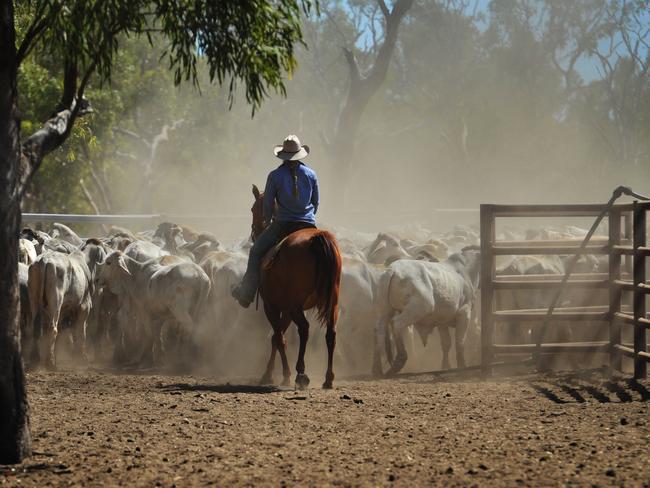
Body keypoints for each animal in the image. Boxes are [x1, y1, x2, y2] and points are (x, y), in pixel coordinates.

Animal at [248, 184, 342, 388]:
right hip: (332, 303)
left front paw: (281, 374)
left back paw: (301, 373)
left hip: (295, 306)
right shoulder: (286, 309)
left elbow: (278, 337)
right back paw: (328, 378)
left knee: (304, 329)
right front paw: (273, 373)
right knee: (331, 333)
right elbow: (276, 337)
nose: (254, 233)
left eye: (253, 209)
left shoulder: (272, 306)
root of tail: (317, 238)